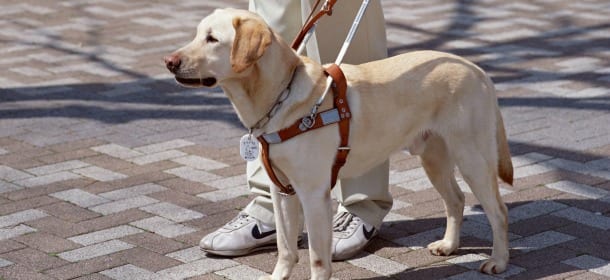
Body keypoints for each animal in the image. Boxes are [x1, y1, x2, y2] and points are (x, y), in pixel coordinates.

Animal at [164, 7, 510, 278]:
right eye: (197, 35)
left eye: (212, 39)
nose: (168, 61)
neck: (280, 97)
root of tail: (477, 69)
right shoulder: (282, 191)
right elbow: (285, 248)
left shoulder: (314, 194)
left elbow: (317, 258)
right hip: (434, 159)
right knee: (456, 200)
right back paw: (450, 245)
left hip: (473, 158)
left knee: (498, 211)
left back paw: (498, 261)